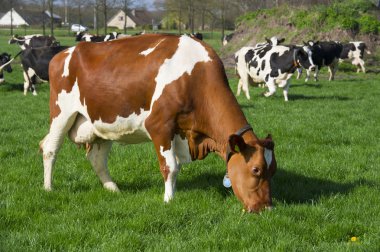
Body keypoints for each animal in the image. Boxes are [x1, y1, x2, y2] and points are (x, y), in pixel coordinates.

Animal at [41, 33, 278, 213]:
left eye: (273, 170)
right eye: (256, 170)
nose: (267, 208)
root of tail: (63, 53)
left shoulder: (178, 132)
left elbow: (176, 166)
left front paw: (172, 191)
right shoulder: (159, 126)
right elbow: (170, 166)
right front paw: (169, 199)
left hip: (102, 122)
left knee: (96, 158)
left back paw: (112, 188)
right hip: (61, 114)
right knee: (50, 148)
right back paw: (48, 188)